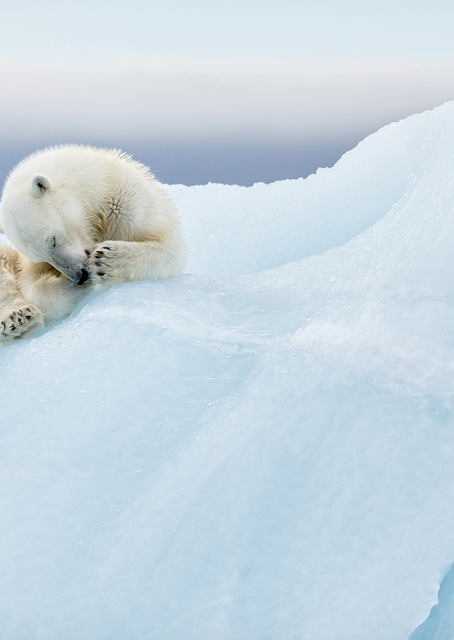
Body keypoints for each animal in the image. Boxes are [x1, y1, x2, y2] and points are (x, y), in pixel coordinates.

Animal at [0, 144, 188, 343]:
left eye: (52, 240)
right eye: (41, 257)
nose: (80, 276)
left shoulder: (128, 204)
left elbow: (171, 248)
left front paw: (106, 261)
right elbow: (32, 285)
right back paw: (16, 320)